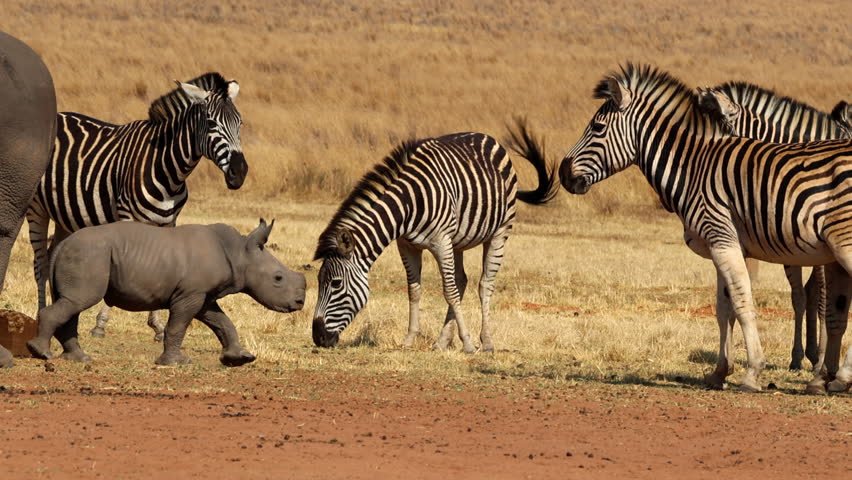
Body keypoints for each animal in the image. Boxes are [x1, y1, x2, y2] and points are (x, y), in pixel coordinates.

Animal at [27, 72, 247, 341]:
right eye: (211, 124)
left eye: (240, 124)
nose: (239, 173)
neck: (167, 168)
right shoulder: (126, 217)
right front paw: (100, 325)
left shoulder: (167, 223)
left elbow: (165, 269)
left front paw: (159, 327)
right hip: (36, 208)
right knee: (40, 263)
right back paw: (41, 315)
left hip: (66, 215)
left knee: (54, 255)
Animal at [27, 219, 306, 366]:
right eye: (278, 278)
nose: (300, 302)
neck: (239, 251)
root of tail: (62, 245)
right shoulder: (190, 294)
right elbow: (178, 325)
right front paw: (175, 363)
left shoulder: (203, 296)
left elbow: (222, 322)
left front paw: (240, 358)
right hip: (89, 254)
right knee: (79, 301)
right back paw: (42, 354)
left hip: (84, 255)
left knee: (72, 303)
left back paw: (79, 358)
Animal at [311, 119, 559, 353]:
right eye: (319, 281)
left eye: (335, 284)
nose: (318, 338)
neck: (408, 205)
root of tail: (487, 137)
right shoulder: (406, 245)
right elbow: (414, 290)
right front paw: (409, 340)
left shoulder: (440, 242)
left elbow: (449, 291)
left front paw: (468, 343)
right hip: (457, 240)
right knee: (461, 280)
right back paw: (442, 341)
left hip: (499, 231)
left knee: (484, 284)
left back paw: (486, 342)